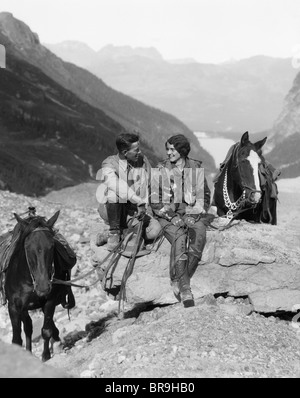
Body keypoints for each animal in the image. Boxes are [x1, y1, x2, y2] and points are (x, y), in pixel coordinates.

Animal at [4, 210, 75, 362]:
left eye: (52, 246)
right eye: (27, 247)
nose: (43, 287)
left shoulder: (50, 301)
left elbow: (46, 330)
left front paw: (46, 355)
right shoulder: (13, 306)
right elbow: (16, 339)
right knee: (28, 327)